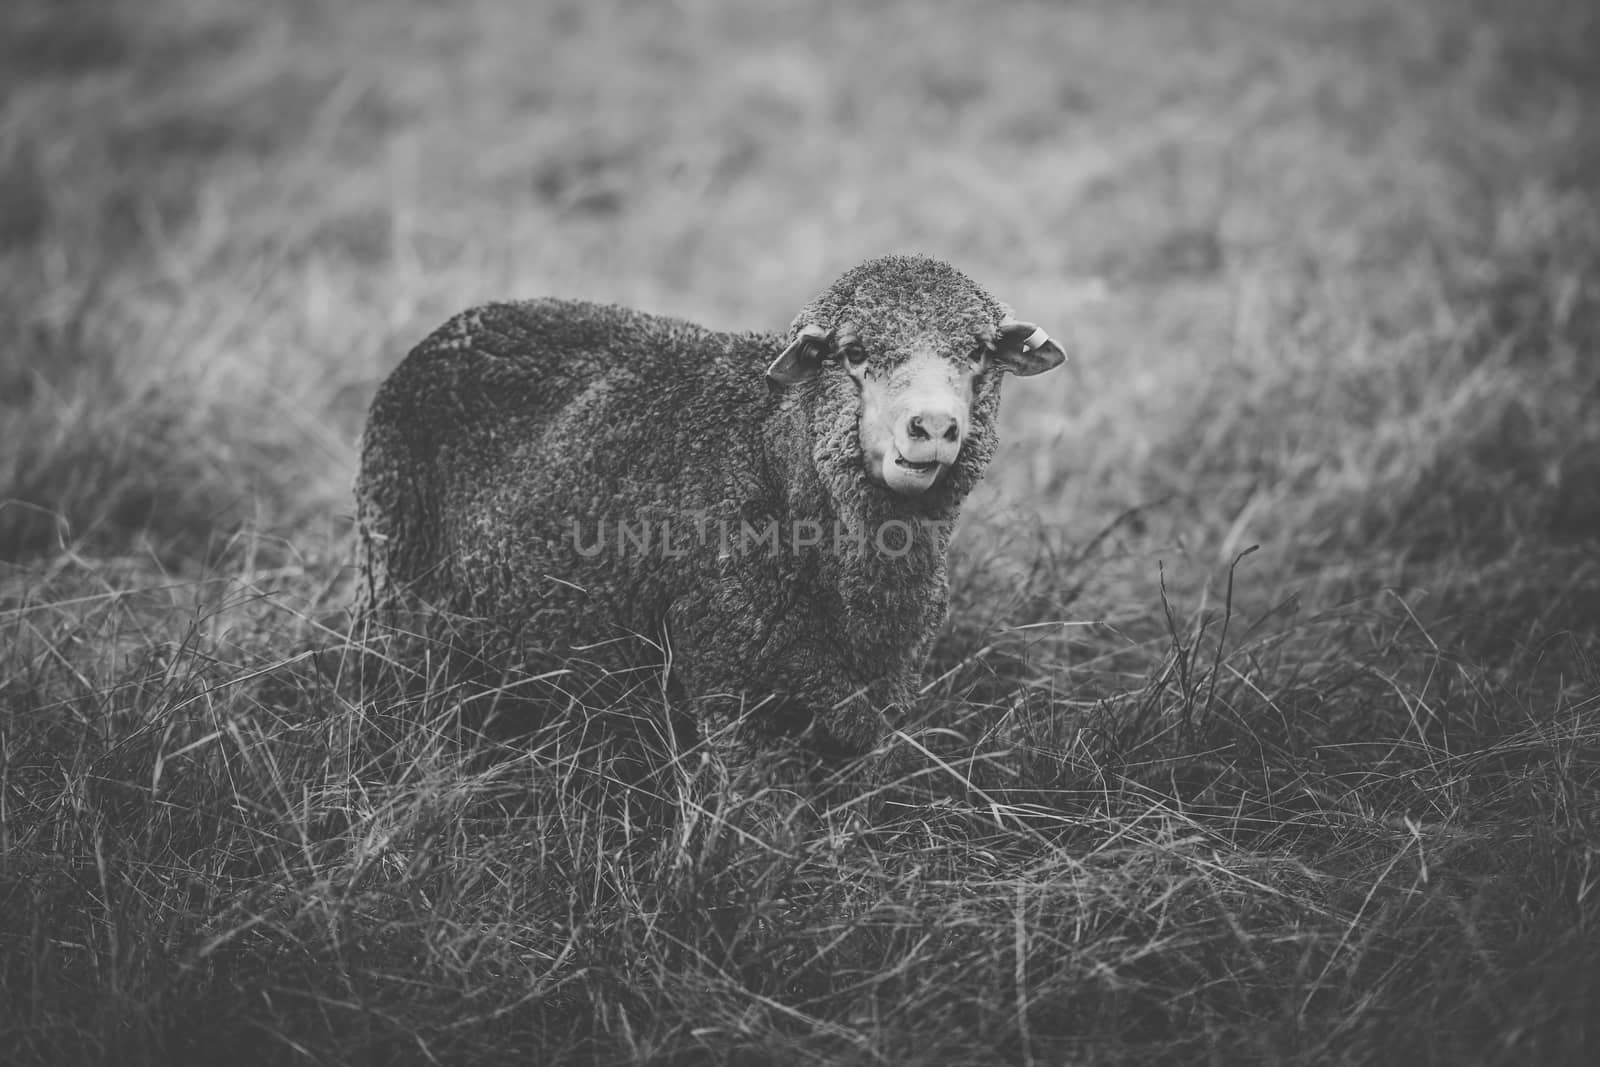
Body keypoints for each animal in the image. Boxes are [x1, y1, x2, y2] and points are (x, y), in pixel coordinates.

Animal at [356, 254, 1068, 780]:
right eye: (853, 352)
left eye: (979, 354)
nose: (933, 428)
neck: (772, 459)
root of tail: (464, 320)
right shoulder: (728, 691)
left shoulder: (874, 708)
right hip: (397, 580)